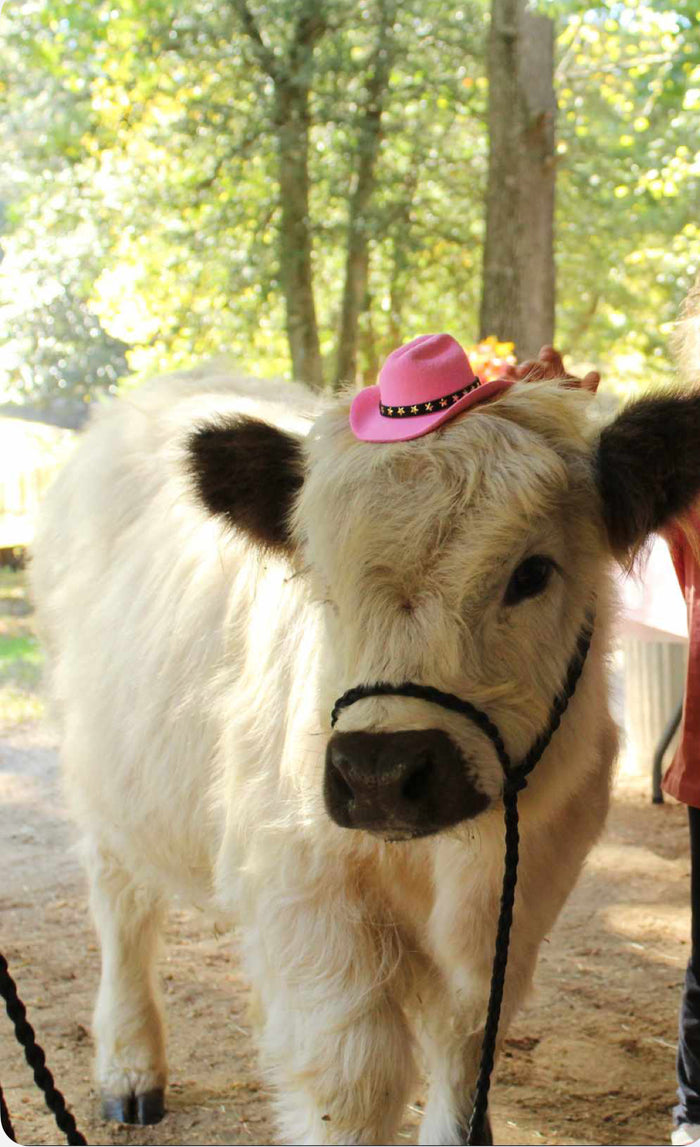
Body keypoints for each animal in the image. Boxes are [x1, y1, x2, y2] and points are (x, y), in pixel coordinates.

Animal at [29, 346, 700, 1146]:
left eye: (532, 572)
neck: (453, 857)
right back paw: (130, 1070)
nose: (381, 773)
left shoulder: (523, 899)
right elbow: (353, 1082)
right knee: (122, 911)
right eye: (320, 578)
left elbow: (464, 1050)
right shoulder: (310, 898)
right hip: (101, 782)